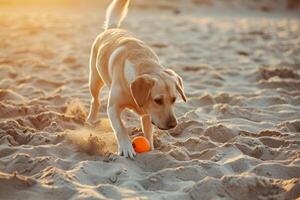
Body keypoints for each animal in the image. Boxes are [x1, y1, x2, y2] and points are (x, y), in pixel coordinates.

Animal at [85, 0, 186, 159]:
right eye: (158, 100)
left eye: (174, 99)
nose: (173, 125)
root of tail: (112, 29)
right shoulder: (113, 108)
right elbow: (120, 128)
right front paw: (126, 147)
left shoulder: (147, 114)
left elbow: (148, 133)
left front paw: (151, 148)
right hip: (95, 79)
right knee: (94, 100)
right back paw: (91, 119)